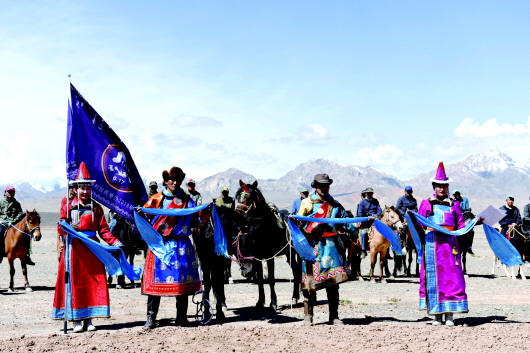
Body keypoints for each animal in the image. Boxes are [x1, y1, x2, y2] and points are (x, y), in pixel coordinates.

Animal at [232, 180, 300, 310]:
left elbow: (271, 279)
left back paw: (296, 297)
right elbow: (260, 280)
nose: (237, 212)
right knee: (295, 269)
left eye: (249, 197)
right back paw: (295, 297)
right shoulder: (257, 258)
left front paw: (273, 303)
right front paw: (260, 302)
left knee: (298, 271)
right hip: (289, 254)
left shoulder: (269, 257)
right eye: (237, 196)